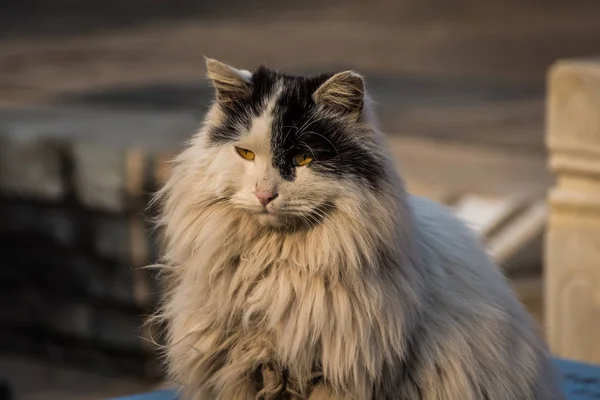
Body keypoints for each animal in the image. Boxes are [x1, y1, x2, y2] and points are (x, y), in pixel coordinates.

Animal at [152, 57, 564, 398]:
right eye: (246, 154)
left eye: (303, 159)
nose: (264, 194)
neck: (274, 268)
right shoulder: (240, 368)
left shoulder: (338, 374)